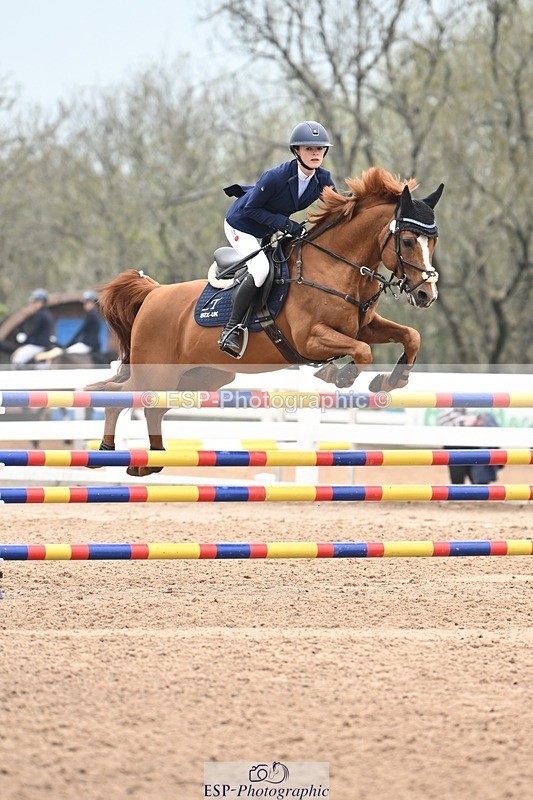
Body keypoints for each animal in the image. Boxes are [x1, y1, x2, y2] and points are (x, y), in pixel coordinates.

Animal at [87, 167, 444, 475]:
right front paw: (338, 376)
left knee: (151, 406)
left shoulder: (364, 326)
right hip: (157, 373)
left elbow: (410, 336)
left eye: (433, 241)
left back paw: (149, 461)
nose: (426, 294)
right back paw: (105, 451)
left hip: (200, 377)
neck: (334, 266)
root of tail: (153, 294)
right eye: (407, 241)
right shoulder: (310, 339)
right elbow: (362, 352)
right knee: (116, 396)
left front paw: (391, 380)